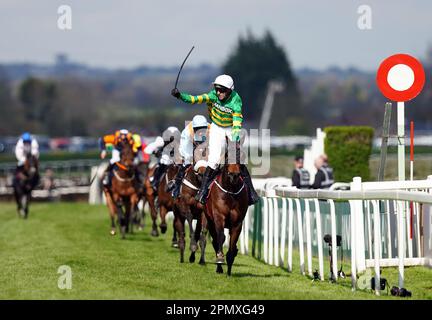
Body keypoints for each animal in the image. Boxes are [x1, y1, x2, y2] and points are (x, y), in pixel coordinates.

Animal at [205, 142, 248, 276]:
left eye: (239, 156)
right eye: (227, 156)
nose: (234, 175)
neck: (230, 192)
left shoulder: (237, 222)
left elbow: (233, 243)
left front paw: (229, 266)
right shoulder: (218, 217)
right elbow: (221, 237)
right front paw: (220, 259)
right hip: (209, 220)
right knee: (215, 240)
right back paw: (219, 267)